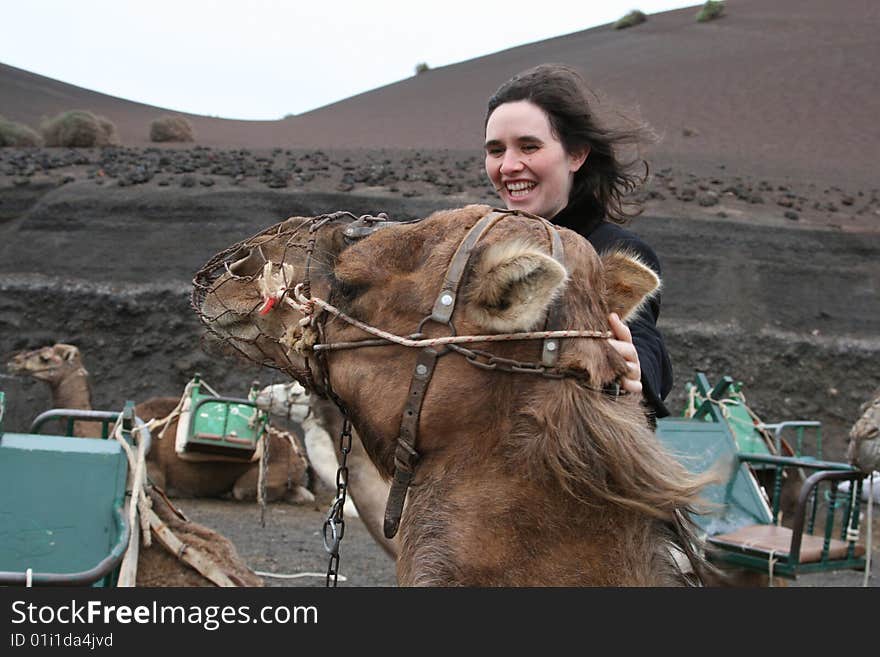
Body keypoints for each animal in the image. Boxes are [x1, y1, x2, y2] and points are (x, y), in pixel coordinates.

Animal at [3, 344, 312, 502]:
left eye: (45, 357)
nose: (14, 361)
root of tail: (298, 454)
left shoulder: (152, 471)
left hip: (262, 475)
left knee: (243, 491)